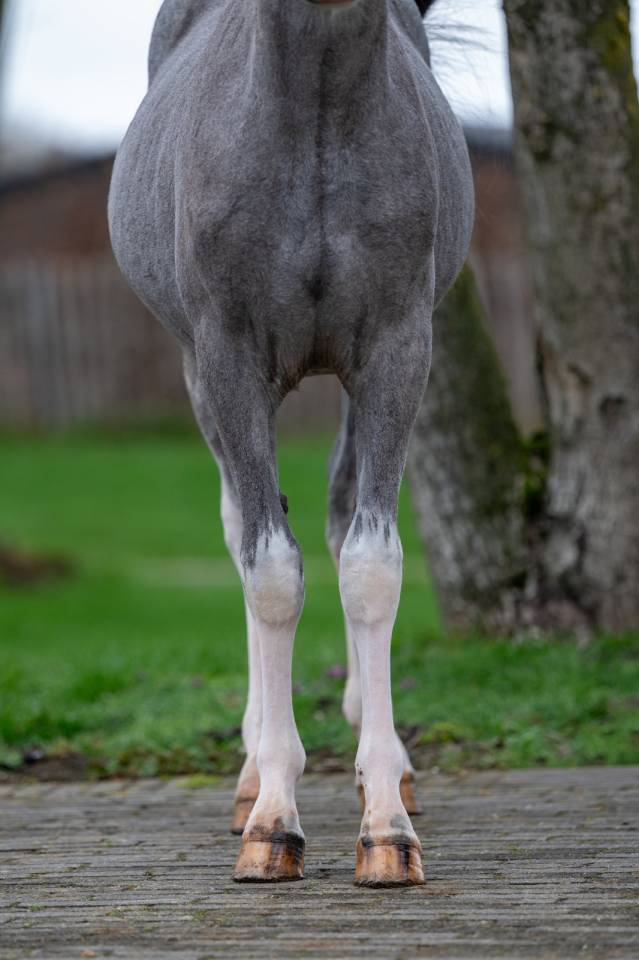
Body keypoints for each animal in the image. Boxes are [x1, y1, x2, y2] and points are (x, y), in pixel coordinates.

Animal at [108, 0, 474, 887]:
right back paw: (248, 776)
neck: (311, 119)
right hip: (203, 380)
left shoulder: (395, 354)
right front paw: (272, 821)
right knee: (244, 527)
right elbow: (270, 572)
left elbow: (370, 564)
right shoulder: (229, 362)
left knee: (339, 523)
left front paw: (386, 828)